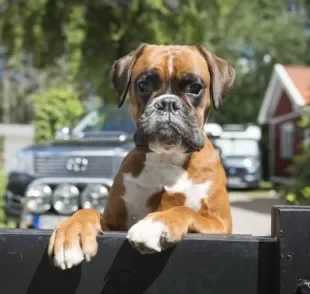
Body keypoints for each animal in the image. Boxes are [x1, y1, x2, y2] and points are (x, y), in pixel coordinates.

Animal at [47, 42, 235, 270]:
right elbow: (87, 211)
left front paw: (156, 224)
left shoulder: (220, 223)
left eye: (195, 88)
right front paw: (71, 233)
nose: (168, 103)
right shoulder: (112, 222)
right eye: (143, 85)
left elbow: (184, 209)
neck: (166, 158)